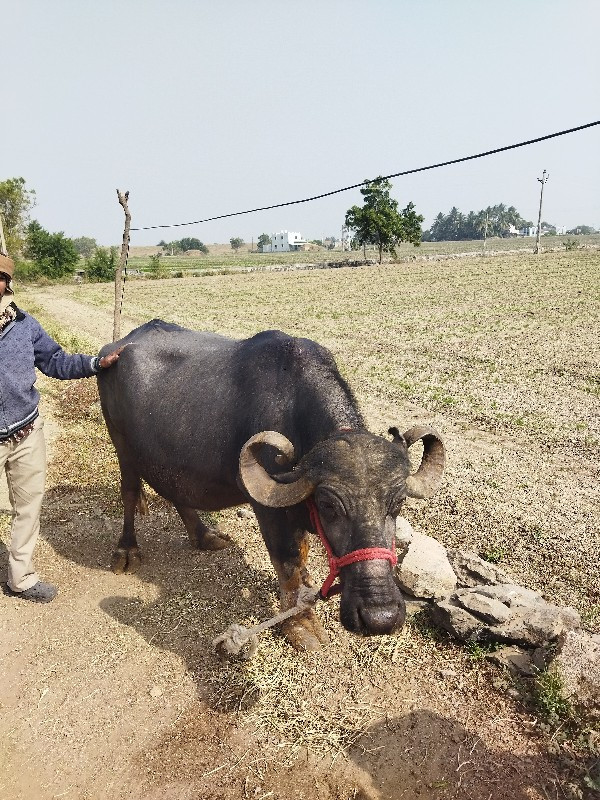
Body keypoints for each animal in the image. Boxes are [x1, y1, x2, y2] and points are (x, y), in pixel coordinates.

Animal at [99, 318, 446, 648]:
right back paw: (127, 551)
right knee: (129, 491)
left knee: (176, 491)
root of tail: (112, 350)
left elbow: (302, 559)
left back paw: (205, 536)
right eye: (328, 506)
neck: (293, 412)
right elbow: (289, 562)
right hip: (122, 445)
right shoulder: (269, 510)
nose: (380, 617)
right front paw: (300, 625)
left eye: (398, 502)